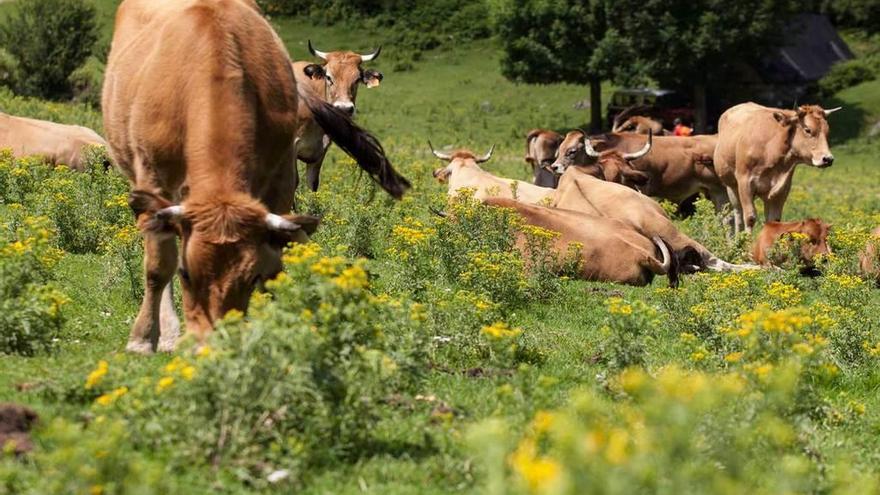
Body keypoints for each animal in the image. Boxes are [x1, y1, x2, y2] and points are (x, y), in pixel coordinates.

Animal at [716, 102, 840, 234]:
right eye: (808, 130)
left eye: (827, 131)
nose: (828, 159)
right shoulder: (745, 183)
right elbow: (750, 218)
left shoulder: (781, 189)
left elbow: (774, 221)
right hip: (731, 186)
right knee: (737, 214)